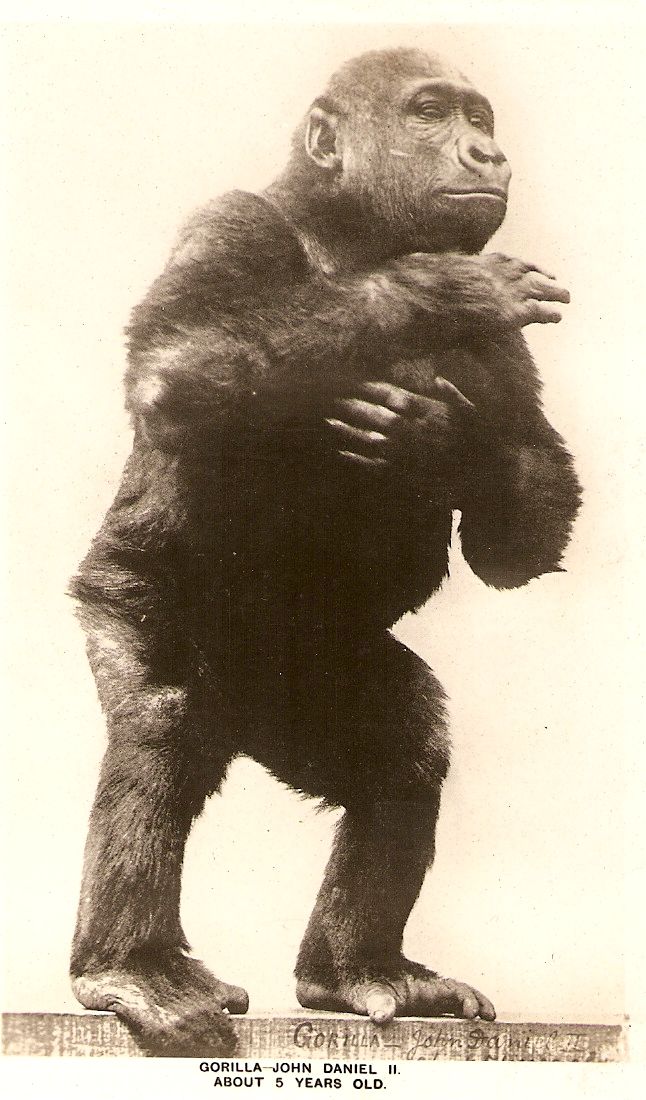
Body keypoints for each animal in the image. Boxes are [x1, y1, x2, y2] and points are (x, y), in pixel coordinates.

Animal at [69, 47, 581, 1056]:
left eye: (476, 117)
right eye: (429, 112)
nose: (484, 150)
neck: (351, 237)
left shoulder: (506, 364)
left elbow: (524, 531)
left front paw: (443, 446)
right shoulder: (228, 222)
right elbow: (180, 363)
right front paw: (441, 288)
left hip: (317, 681)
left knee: (406, 755)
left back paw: (355, 971)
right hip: (138, 606)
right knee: (161, 718)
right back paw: (132, 970)